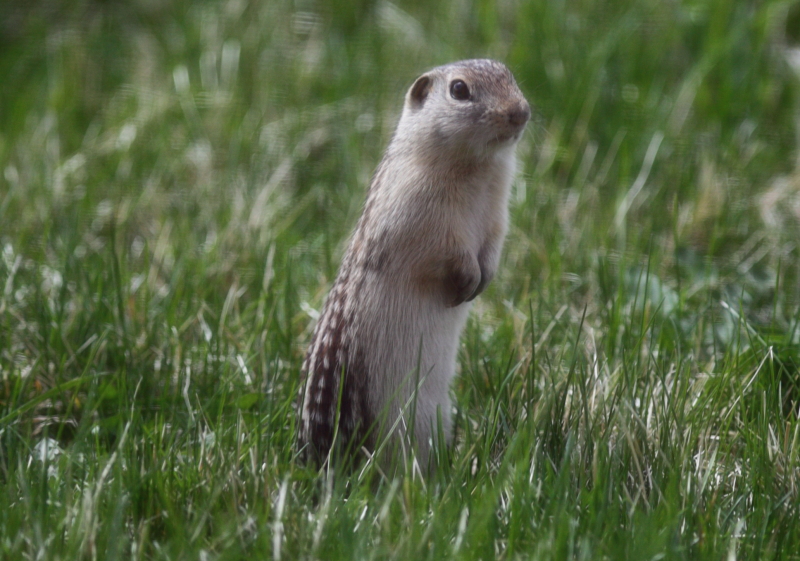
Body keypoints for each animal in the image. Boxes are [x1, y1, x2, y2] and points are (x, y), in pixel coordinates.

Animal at [296, 59, 528, 468]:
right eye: (459, 90)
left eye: (509, 75)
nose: (522, 112)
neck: (478, 171)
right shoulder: (418, 213)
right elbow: (444, 249)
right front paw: (468, 277)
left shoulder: (498, 213)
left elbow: (493, 244)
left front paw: (485, 277)